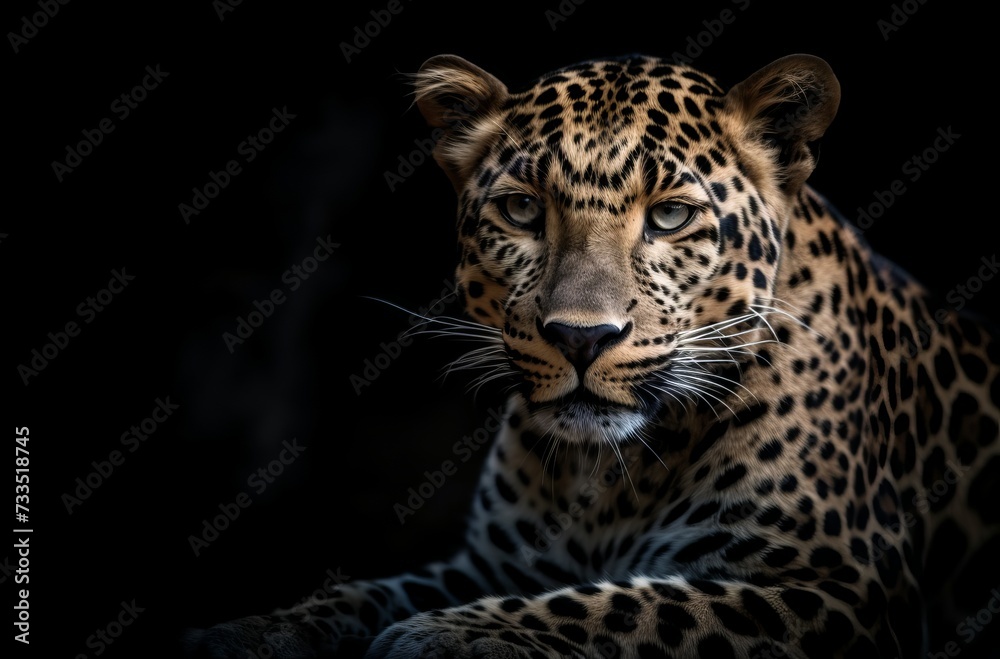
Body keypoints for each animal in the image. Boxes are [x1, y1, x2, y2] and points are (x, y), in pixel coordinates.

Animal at [186, 52, 1000, 659]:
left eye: (669, 216)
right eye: (522, 210)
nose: (582, 336)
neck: (607, 477)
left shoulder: (835, 588)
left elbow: (629, 605)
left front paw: (449, 635)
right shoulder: (491, 563)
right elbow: (368, 591)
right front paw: (248, 634)